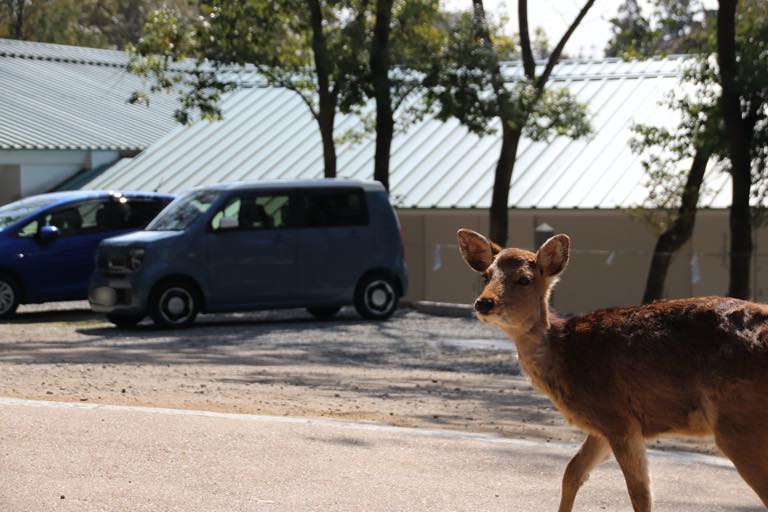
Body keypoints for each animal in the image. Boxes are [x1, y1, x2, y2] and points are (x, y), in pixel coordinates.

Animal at [456, 230, 768, 510]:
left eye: (524, 279)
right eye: (486, 275)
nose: (484, 302)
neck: (565, 355)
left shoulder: (617, 418)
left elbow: (640, 493)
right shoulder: (603, 423)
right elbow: (572, 473)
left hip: (738, 423)